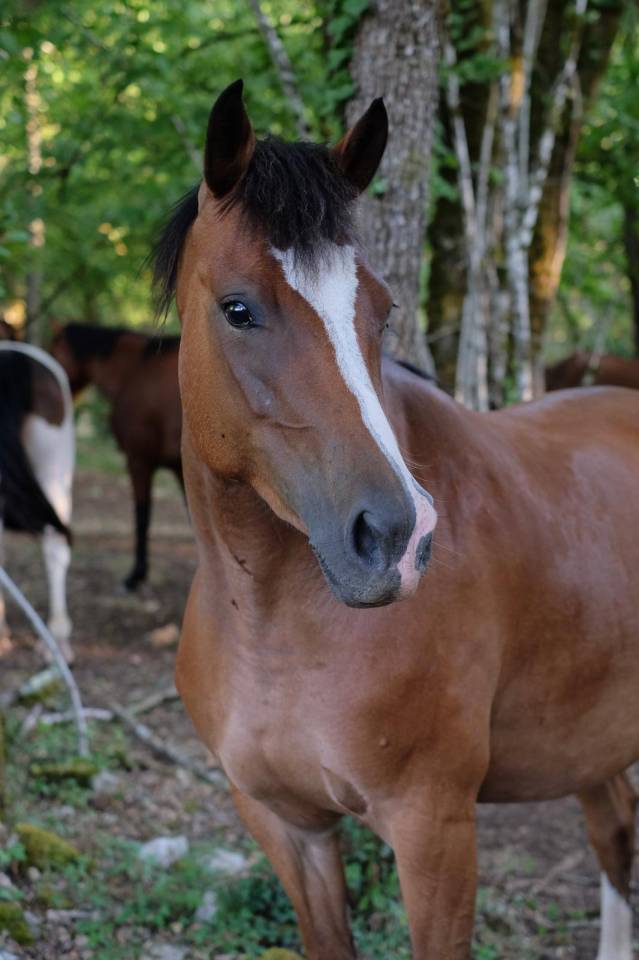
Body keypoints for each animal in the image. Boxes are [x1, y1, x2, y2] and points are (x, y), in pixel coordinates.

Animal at [157, 80, 639, 959]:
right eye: (238, 309)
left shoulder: (432, 830)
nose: (396, 538)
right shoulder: (288, 827)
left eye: (380, 311)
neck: (272, 625)